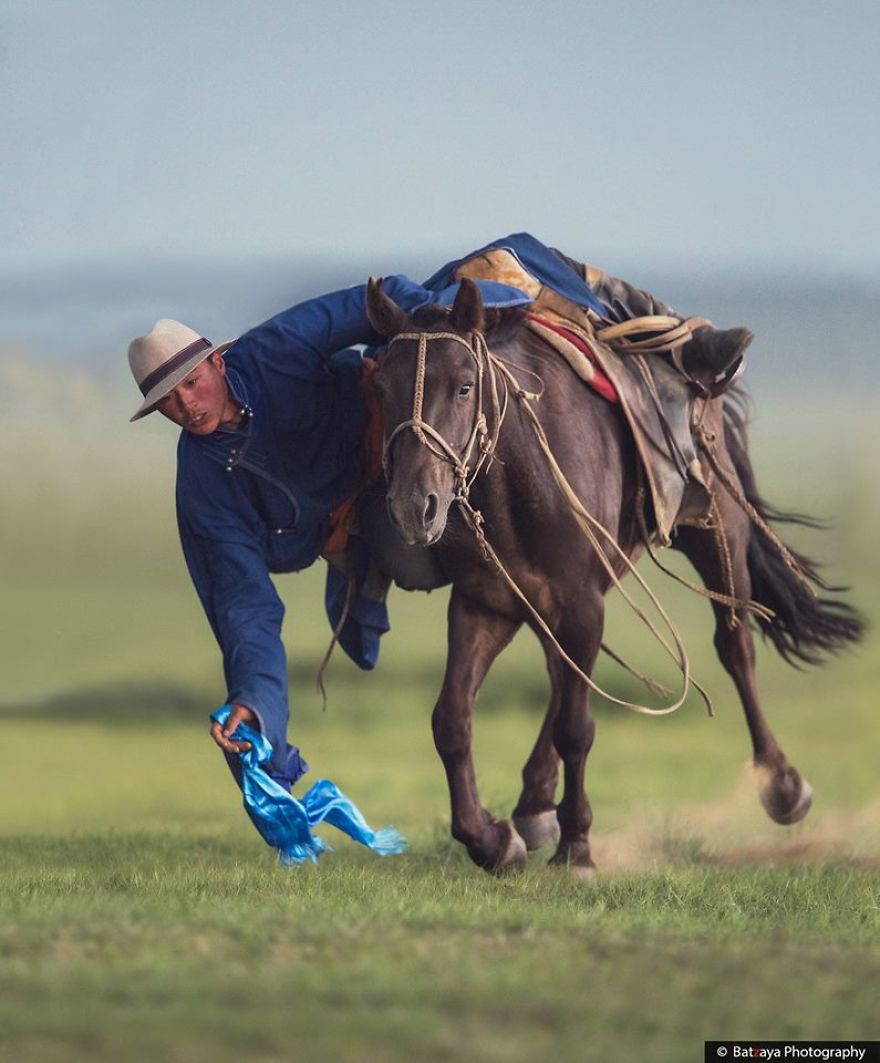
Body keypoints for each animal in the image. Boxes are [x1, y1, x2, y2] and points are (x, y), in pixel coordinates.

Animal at [356, 277, 863, 876]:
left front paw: (576, 850)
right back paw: (534, 806)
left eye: (463, 386)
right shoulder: (486, 604)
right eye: (381, 387)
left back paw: (781, 786)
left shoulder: (580, 601)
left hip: (718, 534)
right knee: (561, 674)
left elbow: (577, 728)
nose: (416, 507)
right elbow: (452, 720)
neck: (522, 482)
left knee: (735, 643)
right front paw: (491, 839)